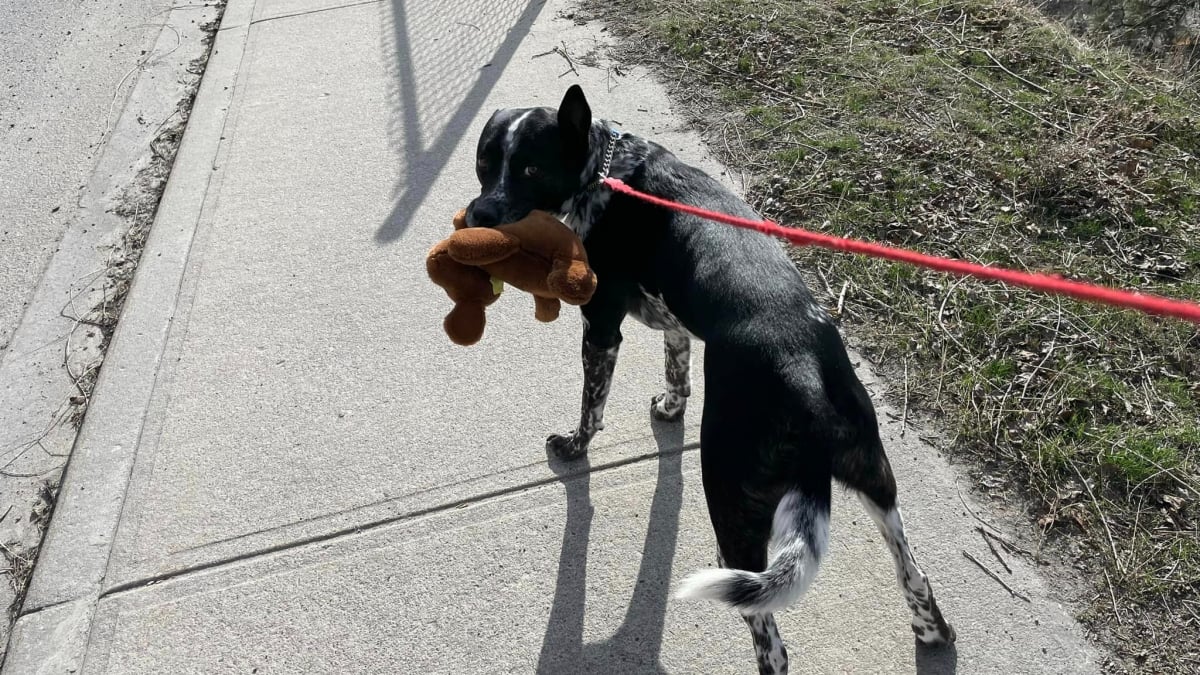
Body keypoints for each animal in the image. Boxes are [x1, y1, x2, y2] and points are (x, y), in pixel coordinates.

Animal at [468, 85, 955, 672]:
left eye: (530, 167)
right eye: (484, 162)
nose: (478, 213)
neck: (604, 167)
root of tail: (809, 389)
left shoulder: (601, 326)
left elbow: (592, 406)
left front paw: (575, 445)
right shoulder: (672, 320)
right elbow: (677, 368)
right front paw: (671, 406)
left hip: (732, 508)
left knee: (773, 645)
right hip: (876, 484)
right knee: (916, 575)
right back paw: (930, 631)